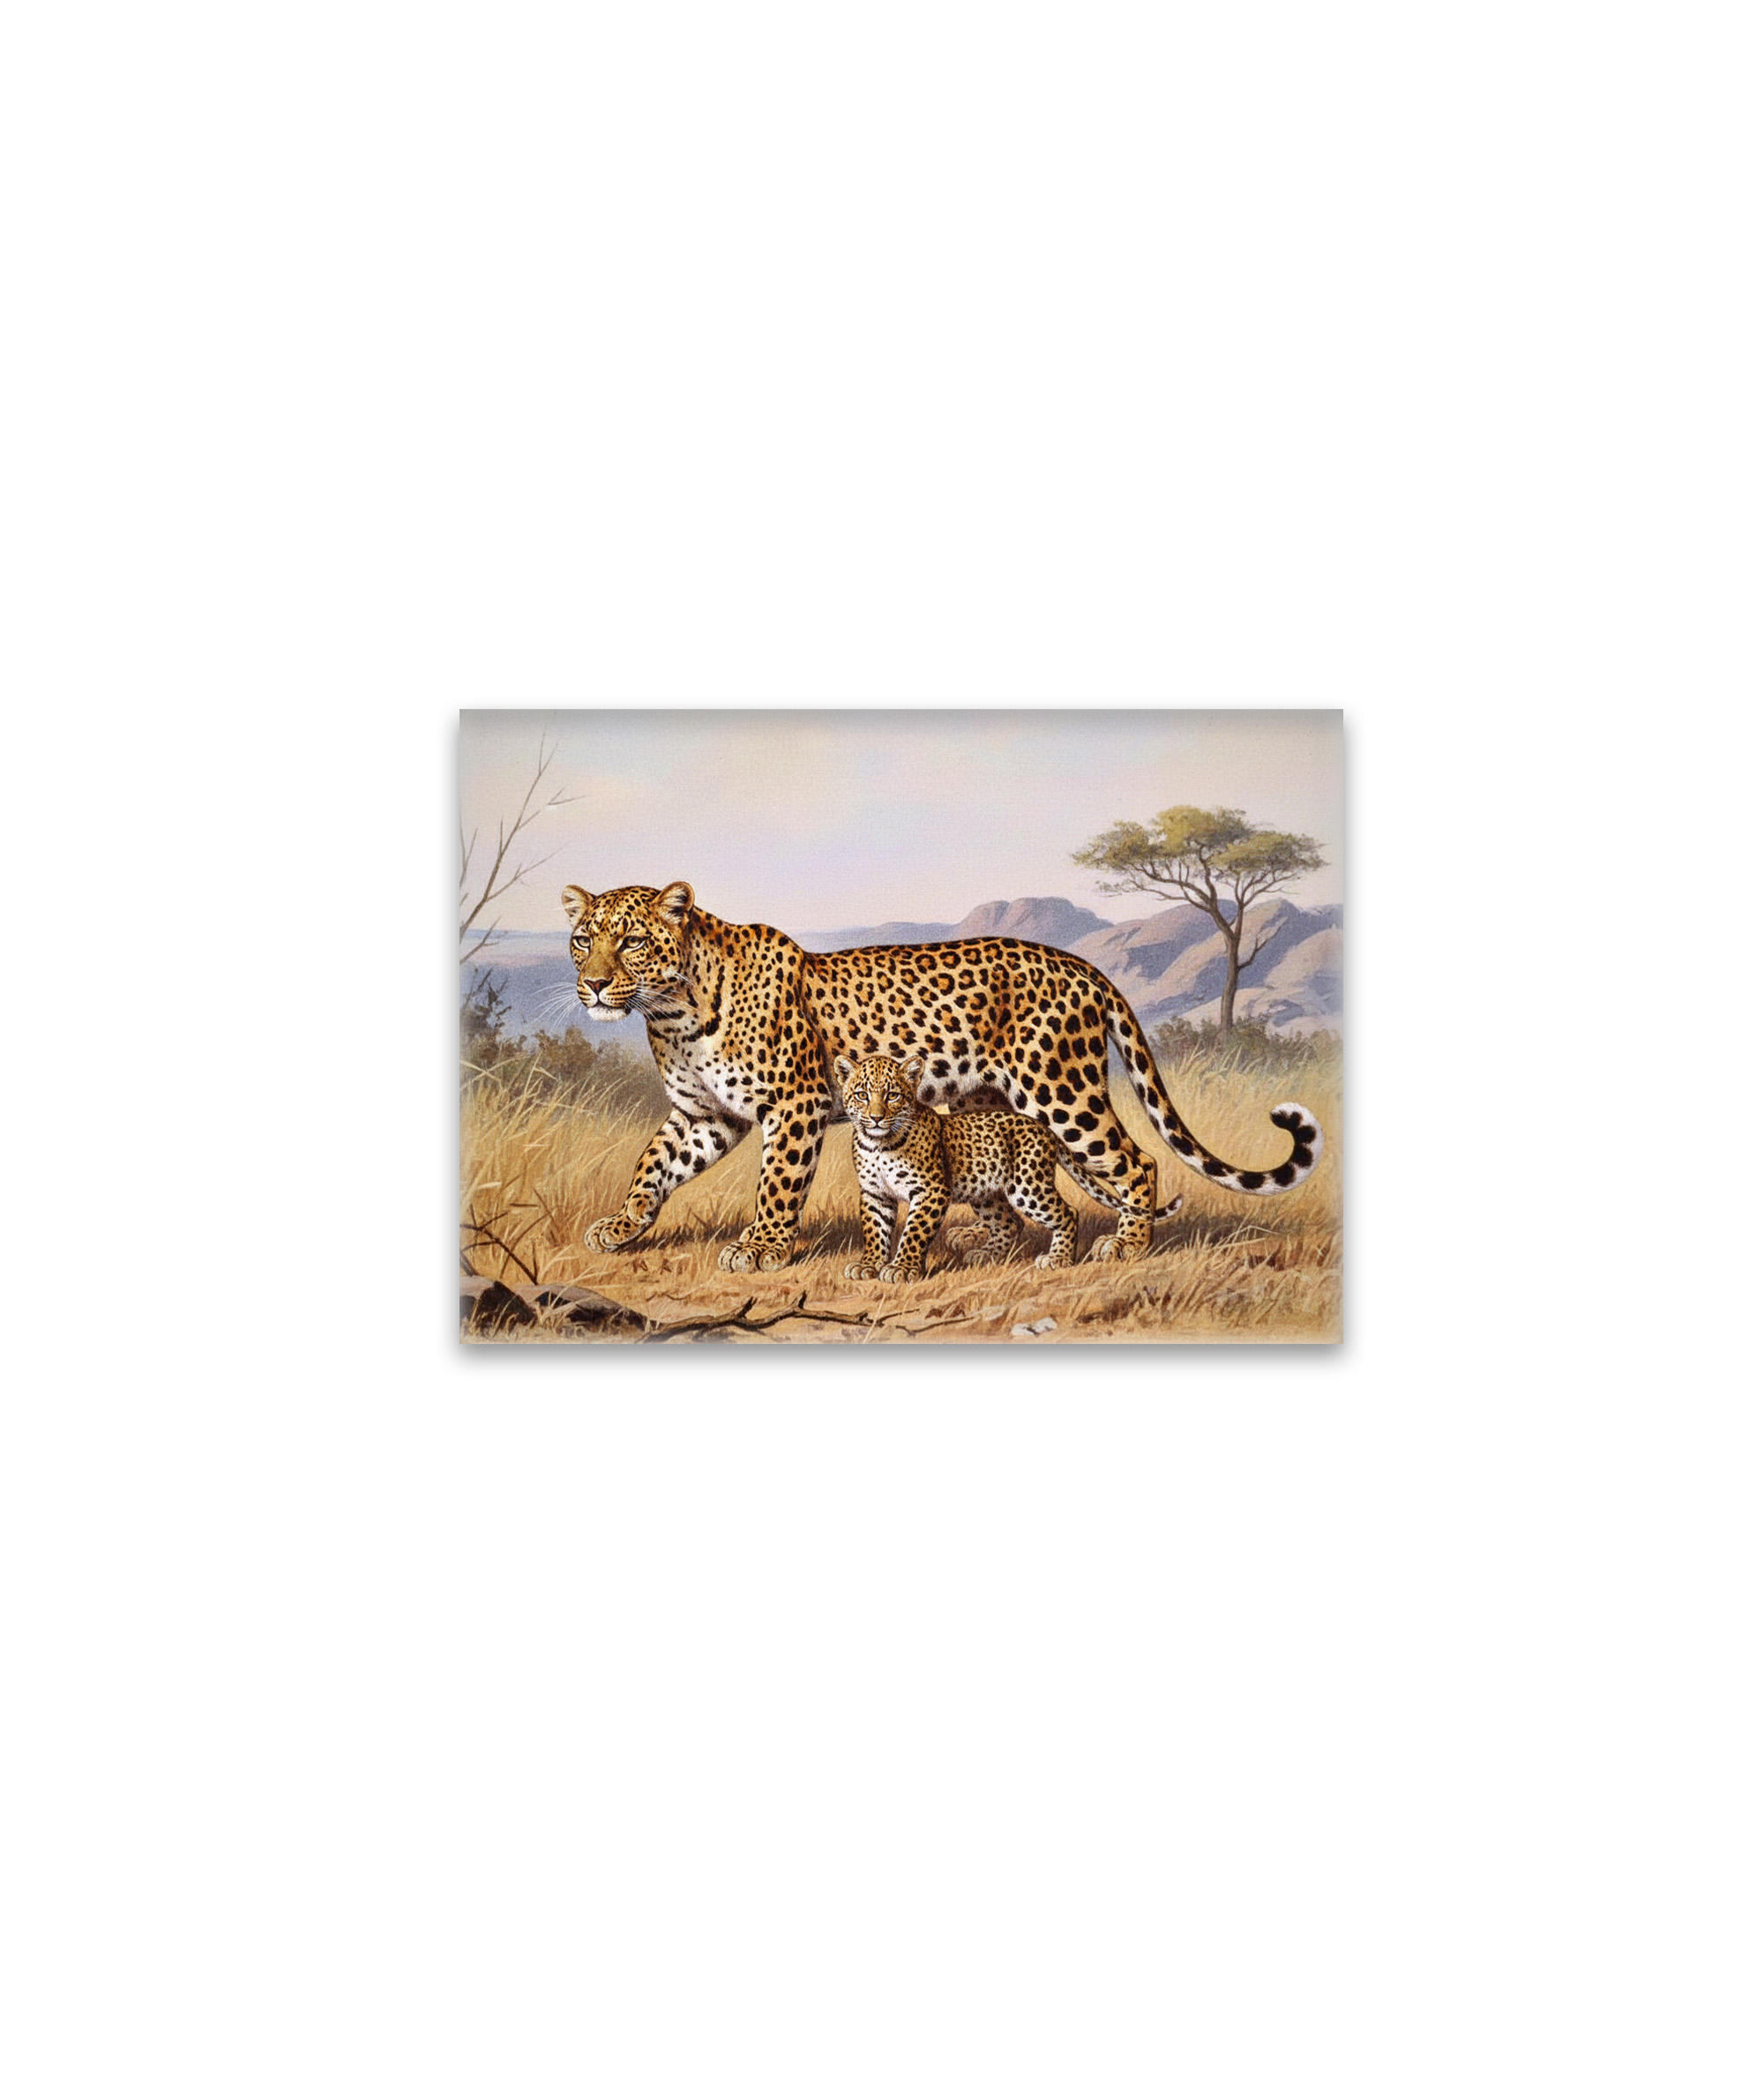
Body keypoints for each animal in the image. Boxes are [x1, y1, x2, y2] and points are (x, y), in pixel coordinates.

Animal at [835, 1052, 1184, 1281]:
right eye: (862, 1095)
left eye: (893, 1095)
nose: (876, 1117)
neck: (878, 1144)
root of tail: (1040, 1126)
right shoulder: (875, 1194)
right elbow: (875, 1230)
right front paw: (868, 1265)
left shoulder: (930, 1191)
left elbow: (914, 1232)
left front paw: (902, 1268)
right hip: (984, 1190)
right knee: (1008, 1222)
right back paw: (985, 1254)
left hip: (1028, 1187)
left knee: (1068, 1213)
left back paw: (1059, 1259)